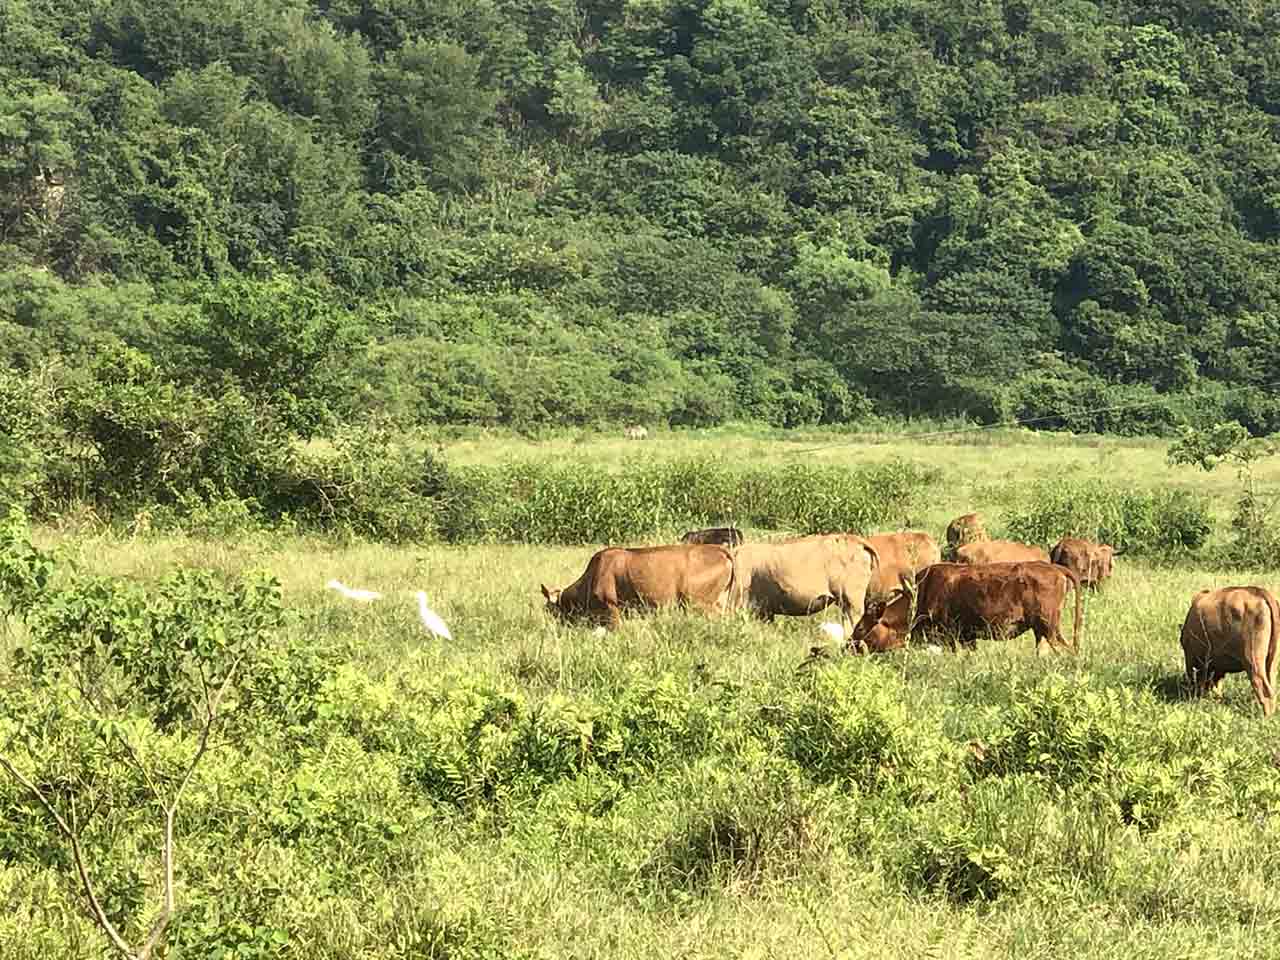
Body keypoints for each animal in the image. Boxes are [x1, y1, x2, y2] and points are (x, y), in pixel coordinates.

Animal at [849, 560, 1080, 660]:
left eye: (860, 628)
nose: (848, 647)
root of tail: (1055, 568)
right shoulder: (968, 638)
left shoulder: (950, 636)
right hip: (1041, 631)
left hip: (1051, 628)